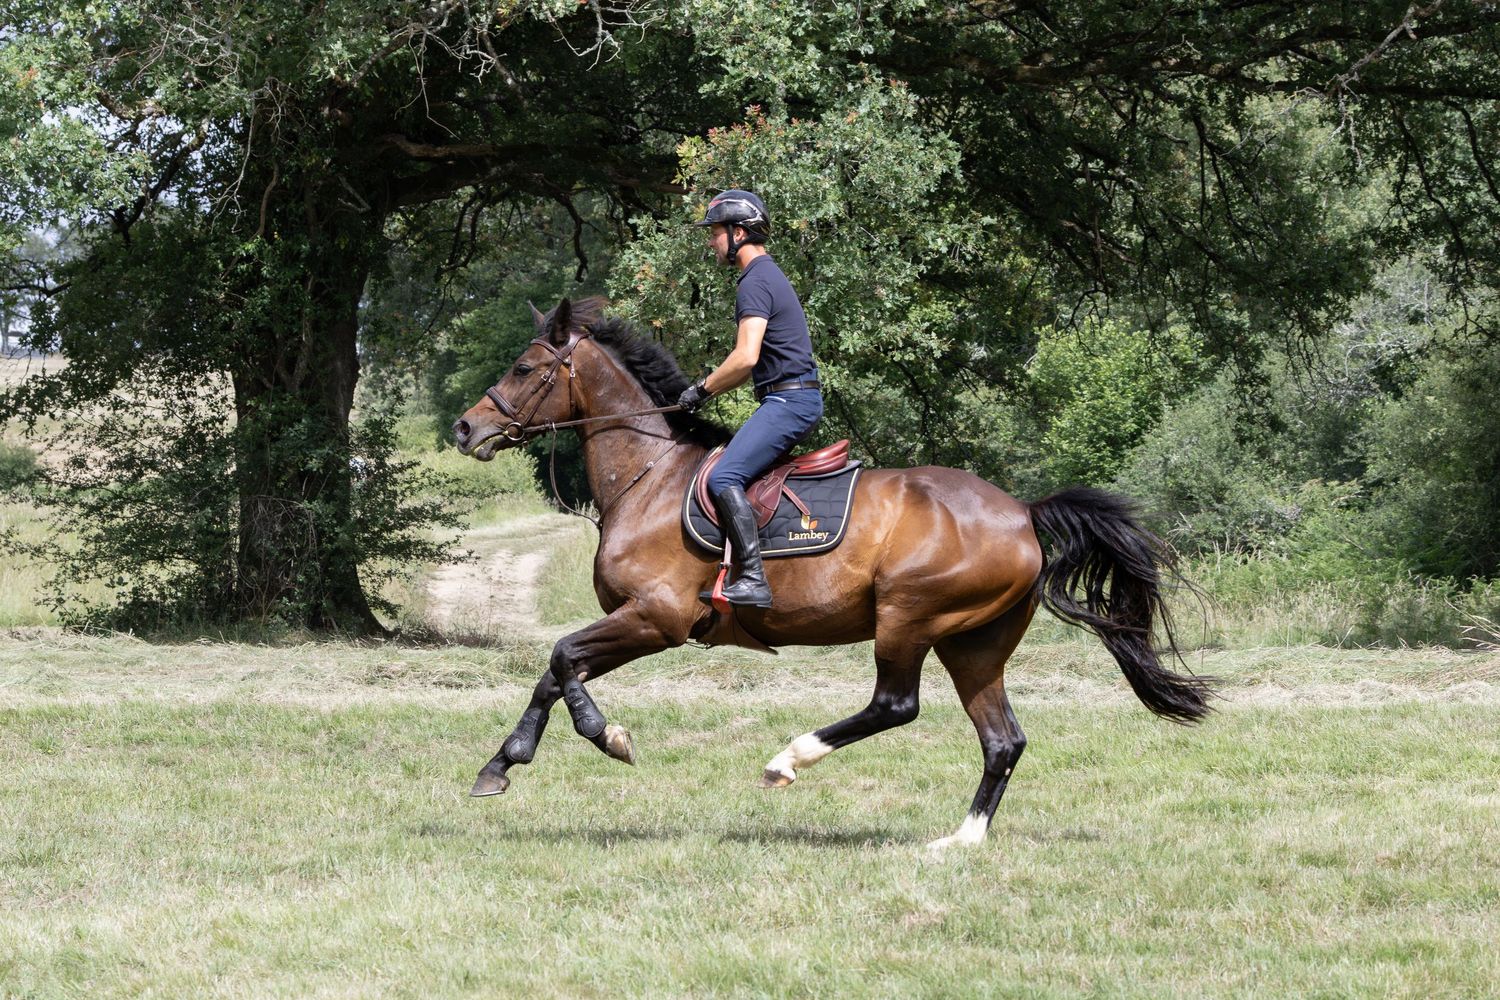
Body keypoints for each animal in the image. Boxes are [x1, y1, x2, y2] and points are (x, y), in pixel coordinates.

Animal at [452, 296, 1213, 850]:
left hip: (908, 617)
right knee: (1003, 739)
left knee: (896, 705)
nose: (464, 430)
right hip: (973, 643)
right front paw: (501, 767)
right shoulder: (639, 621)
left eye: (525, 368)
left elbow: (562, 659)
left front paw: (606, 737)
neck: (650, 478)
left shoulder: (657, 617)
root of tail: (1024, 513)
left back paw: (789, 759)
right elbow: (555, 672)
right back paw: (959, 842)